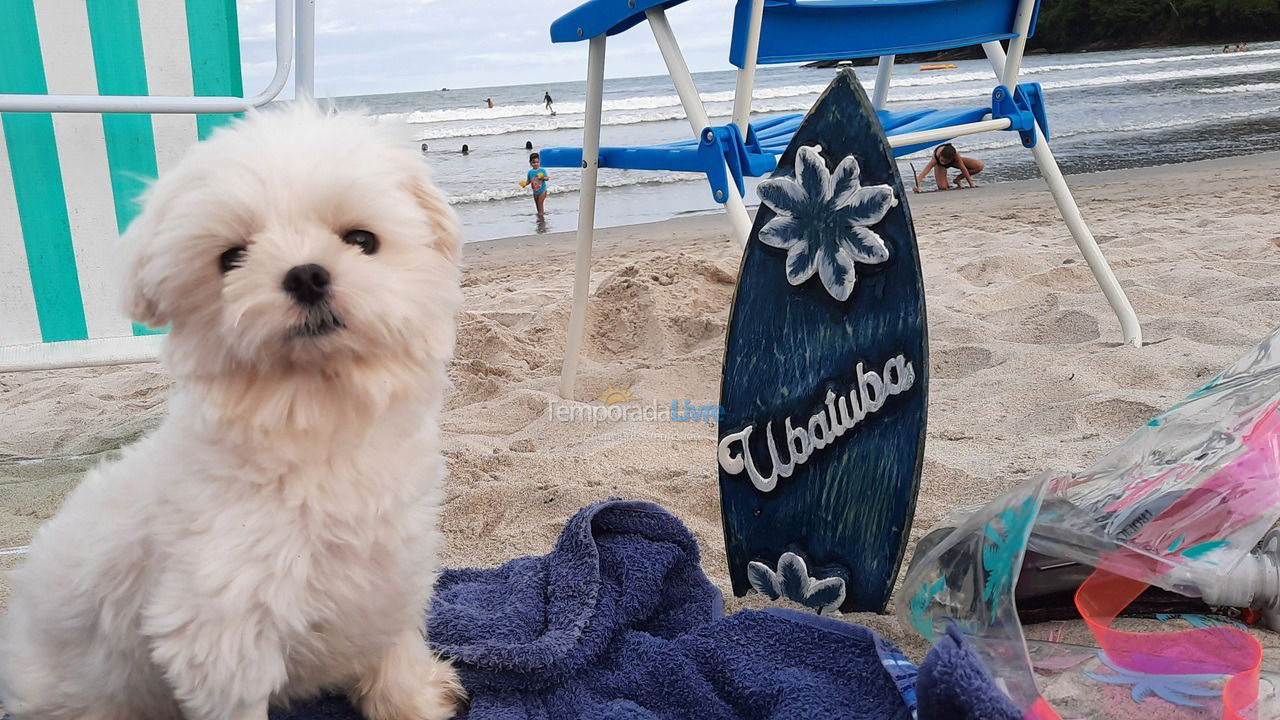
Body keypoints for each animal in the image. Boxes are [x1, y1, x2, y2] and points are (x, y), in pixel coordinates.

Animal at [0, 105, 468, 717]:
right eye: (232, 257)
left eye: (362, 239)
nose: (306, 274)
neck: (314, 419)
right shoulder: (219, 631)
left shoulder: (391, 570)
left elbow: (394, 642)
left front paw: (411, 698)